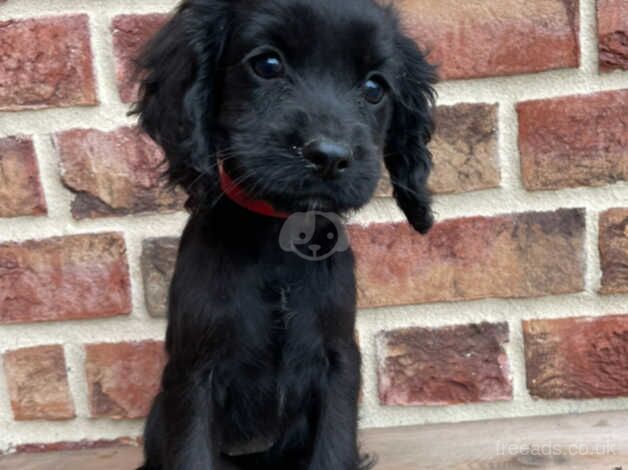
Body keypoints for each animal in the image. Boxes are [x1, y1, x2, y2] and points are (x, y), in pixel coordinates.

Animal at [135, 0, 434, 470]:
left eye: (374, 88)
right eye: (268, 64)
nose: (329, 156)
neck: (279, 233)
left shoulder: (338, 362)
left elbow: (333, 449)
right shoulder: (192, 372)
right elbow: (192, 452)